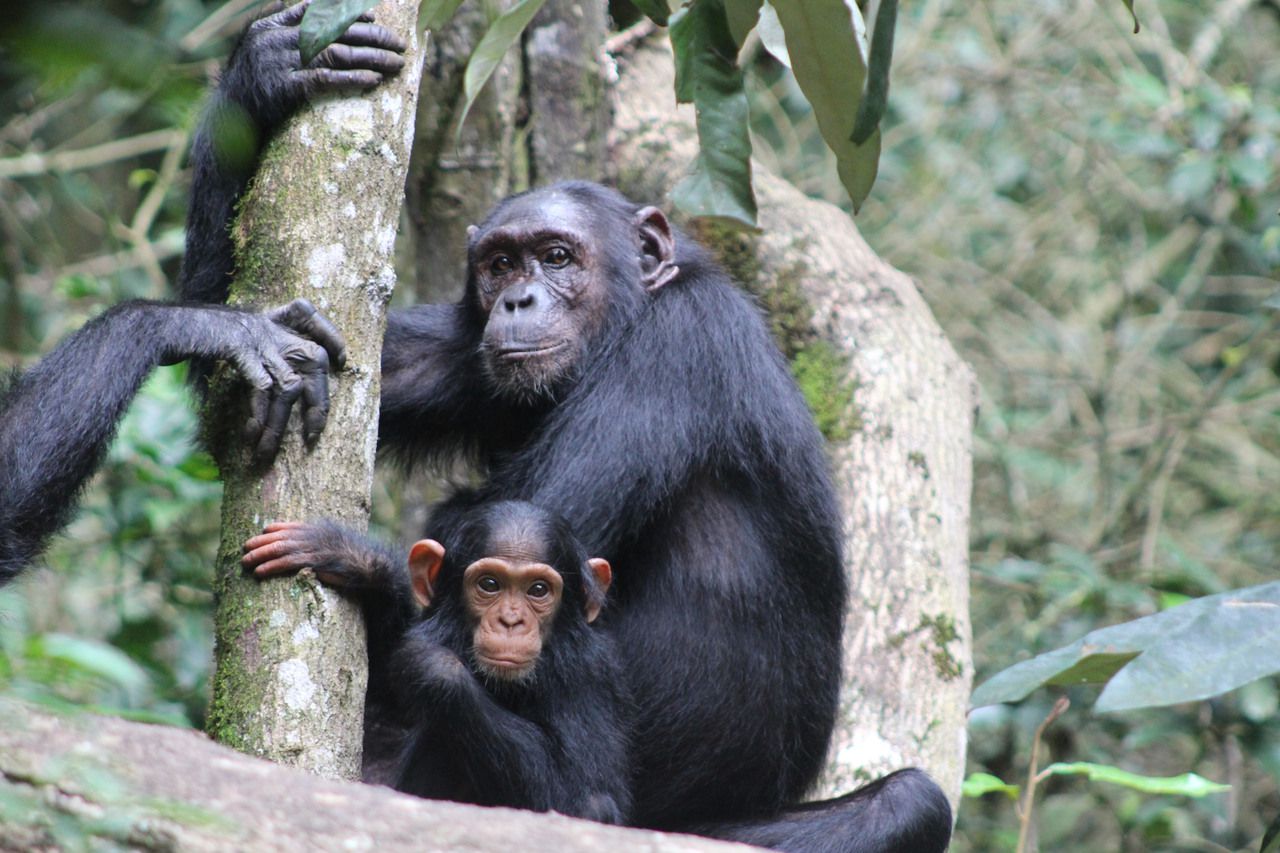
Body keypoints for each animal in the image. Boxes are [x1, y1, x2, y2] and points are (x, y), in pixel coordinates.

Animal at [240, 494, 629, 819]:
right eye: (490, 584)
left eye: (538, 590)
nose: (510, 621)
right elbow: (383, 726)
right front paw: (356, 560)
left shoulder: (587, 672)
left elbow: (583, 795)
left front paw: (431, 665)